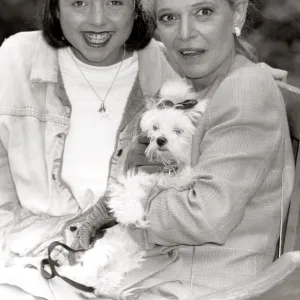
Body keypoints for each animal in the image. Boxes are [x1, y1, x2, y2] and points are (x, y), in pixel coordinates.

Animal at [59, 78, 209, 296]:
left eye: (177, 130)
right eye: (155, 127)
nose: (160, 140)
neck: (162, 165)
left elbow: (178, 177)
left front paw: (186, 178)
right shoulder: (132, 177)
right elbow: (129, 193)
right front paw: (133, 215)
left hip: (123, 261)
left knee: (105, 276)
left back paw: (103, 286)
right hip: (103, 250)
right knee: (85, 269)